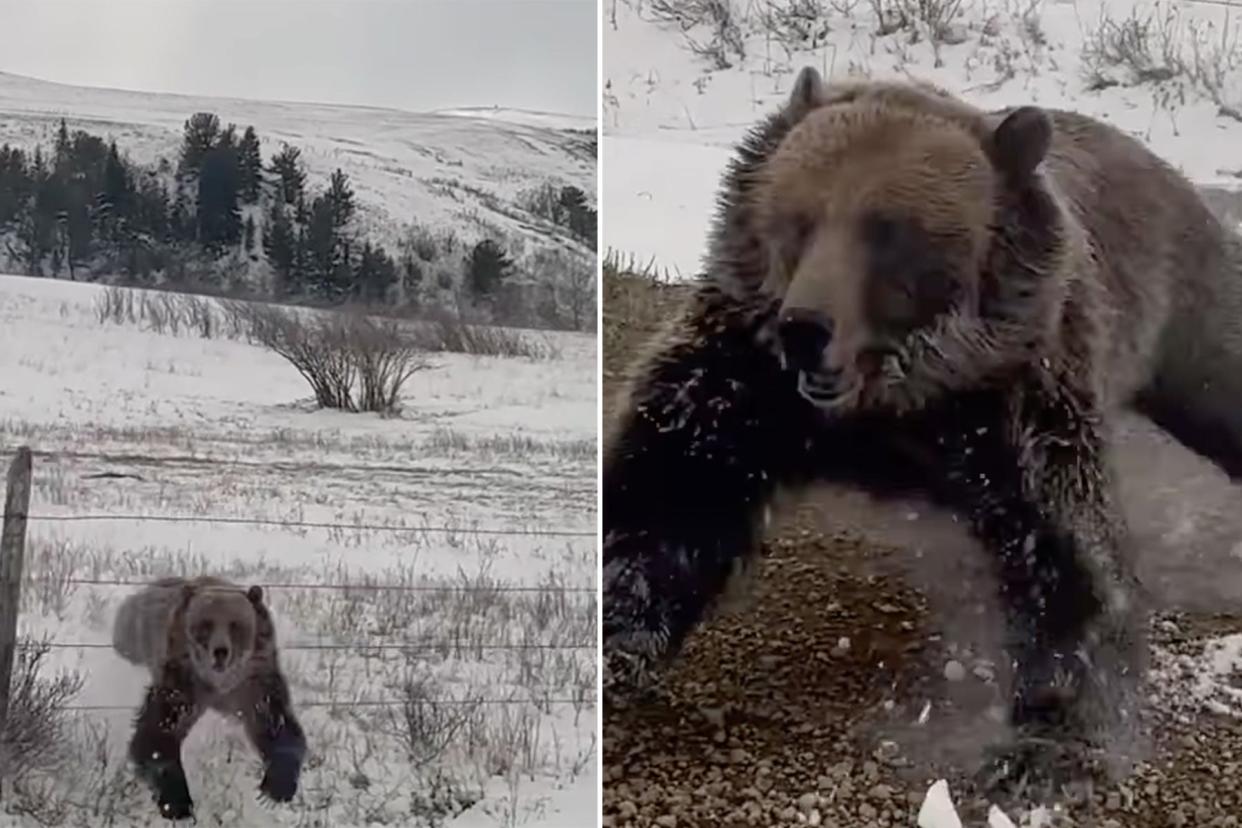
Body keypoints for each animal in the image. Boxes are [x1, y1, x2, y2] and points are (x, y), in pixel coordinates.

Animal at [112, 576, 308, 824]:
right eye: (205, 624)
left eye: (235, 624)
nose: (220, 651)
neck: (219, 684)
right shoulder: (183, 680)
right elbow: (157, 732)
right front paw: (177, 802)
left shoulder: (254, 680)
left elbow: (276, 724)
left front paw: (274, 789)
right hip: (135, 628)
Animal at [601, 67, 1242, 794]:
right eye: (797, 217)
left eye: (891, 230)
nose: (806, 329)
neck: (898, 398)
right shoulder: (744, 378)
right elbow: (667, 494)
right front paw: (617, 639)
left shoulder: (1019, 401)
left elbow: (1072, 556)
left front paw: (1048, 742)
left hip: (1189, 309)